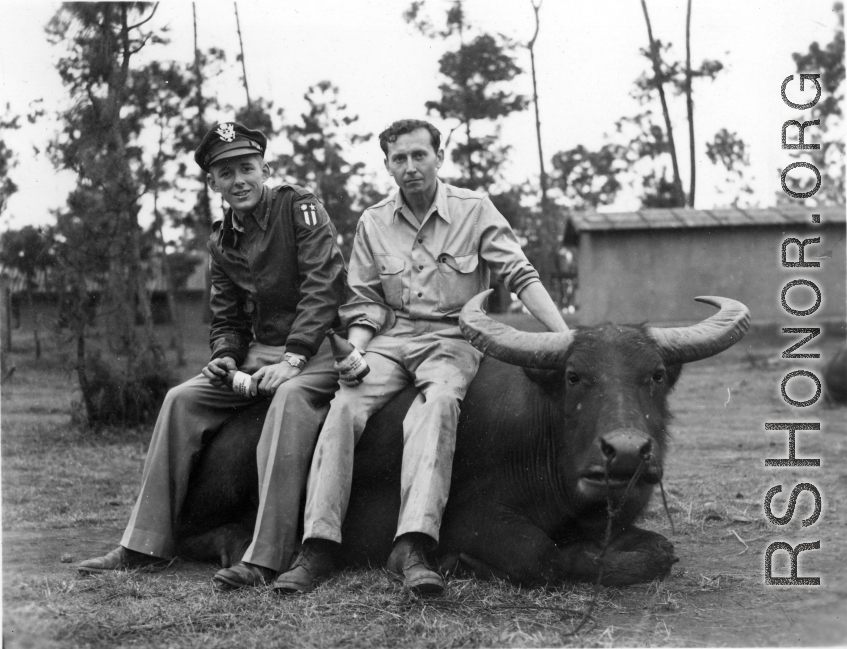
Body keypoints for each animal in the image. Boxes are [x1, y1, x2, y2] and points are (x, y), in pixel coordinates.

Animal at [172, 294, 748, 588]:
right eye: (574, 376)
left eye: (655, 374)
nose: (626, 451)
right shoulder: (476, 519)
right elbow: (540, 557)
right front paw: (458, 564)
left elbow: (660, 551)